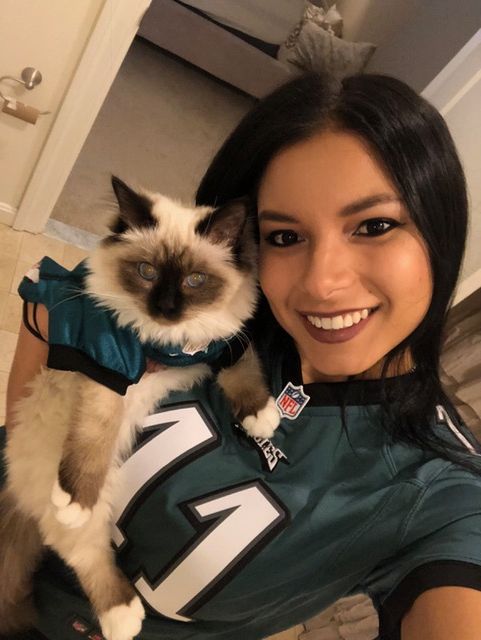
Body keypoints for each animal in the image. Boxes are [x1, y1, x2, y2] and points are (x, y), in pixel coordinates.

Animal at [0, 176, 280, 640]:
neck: (167, 342)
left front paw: (262, 417)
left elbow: (243, 370)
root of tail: (17, 493)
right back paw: (124, 617)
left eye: (195, 280)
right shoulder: (108, 365)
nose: (165, 308)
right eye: (147, 272)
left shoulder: (222, 345)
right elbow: (92, 439)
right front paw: (74, 499)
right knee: (85, 552)